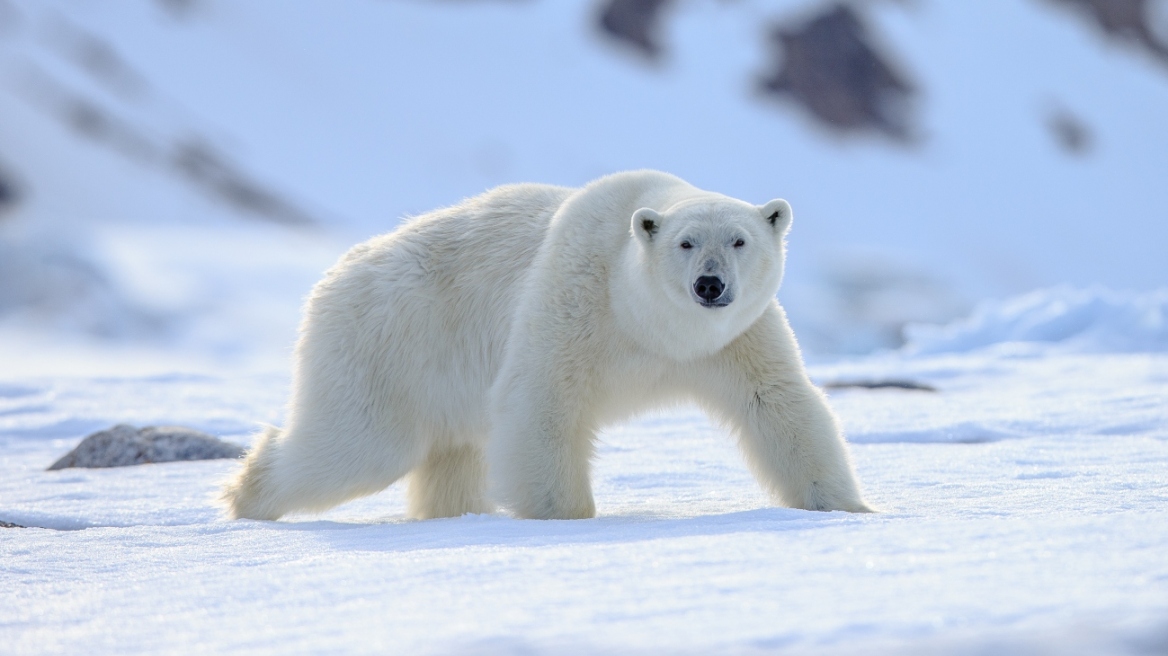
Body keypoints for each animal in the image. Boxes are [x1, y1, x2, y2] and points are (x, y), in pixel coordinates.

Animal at [223, 169, 873, 520]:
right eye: (686, 243)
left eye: (739, 240)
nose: (709, 285)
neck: (647, 324)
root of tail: (336, 274)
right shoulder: (575, 298)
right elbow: (542, 401)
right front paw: (566, 518)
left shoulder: (736, 339)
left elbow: (778, 404)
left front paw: (848, 508)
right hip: (388, 344)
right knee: (356, 445)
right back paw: (245, 495)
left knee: (451, 456)